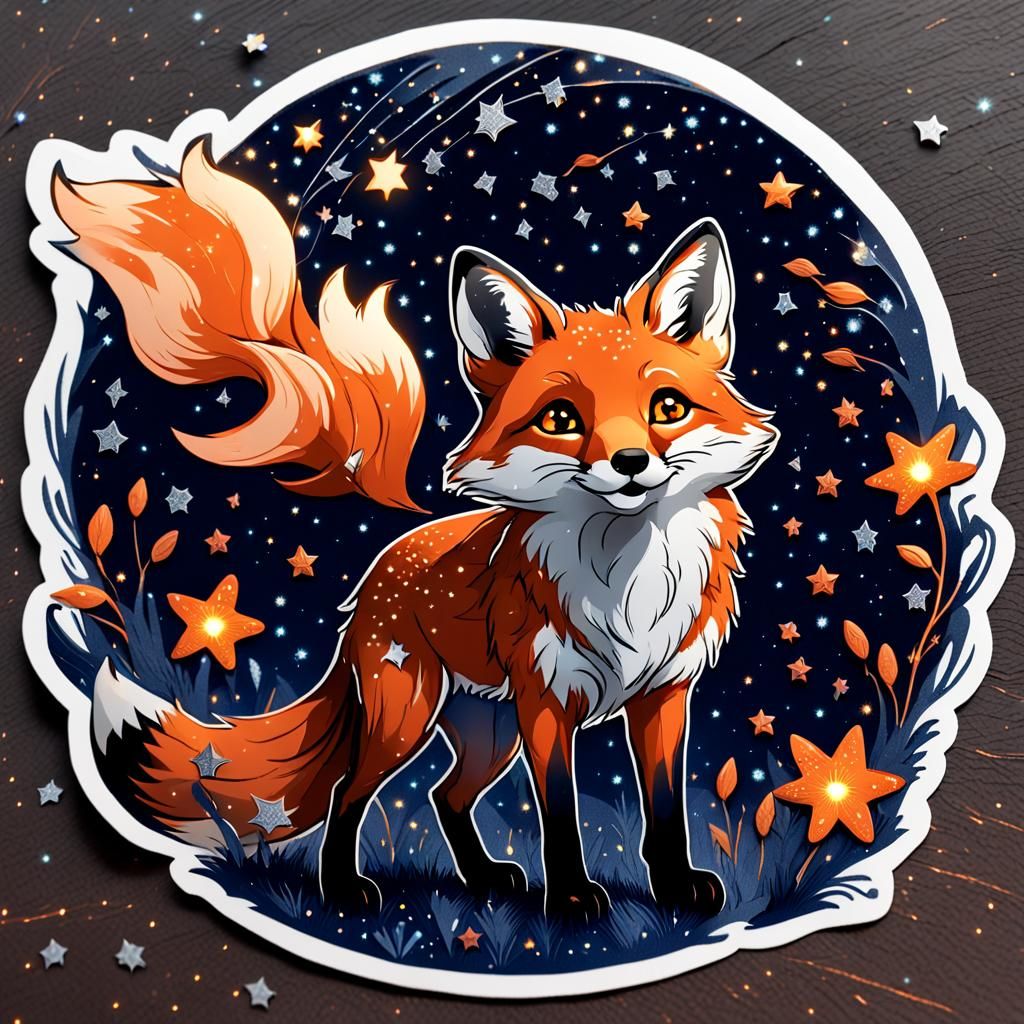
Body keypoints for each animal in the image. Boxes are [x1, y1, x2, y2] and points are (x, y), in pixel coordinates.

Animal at [53, 138, 778, 920]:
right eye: (561, 419)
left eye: (667, 407)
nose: (631, 463)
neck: (627, 581)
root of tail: (378, 571)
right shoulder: (548, 702)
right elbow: (558, 811)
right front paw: (571, 896)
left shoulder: (664, 697)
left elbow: (665, 809)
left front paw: (674, 887)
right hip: (411, 716)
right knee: (352, 792)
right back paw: (344, 889)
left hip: (487, 734)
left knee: (443, 794)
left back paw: (482, 878)